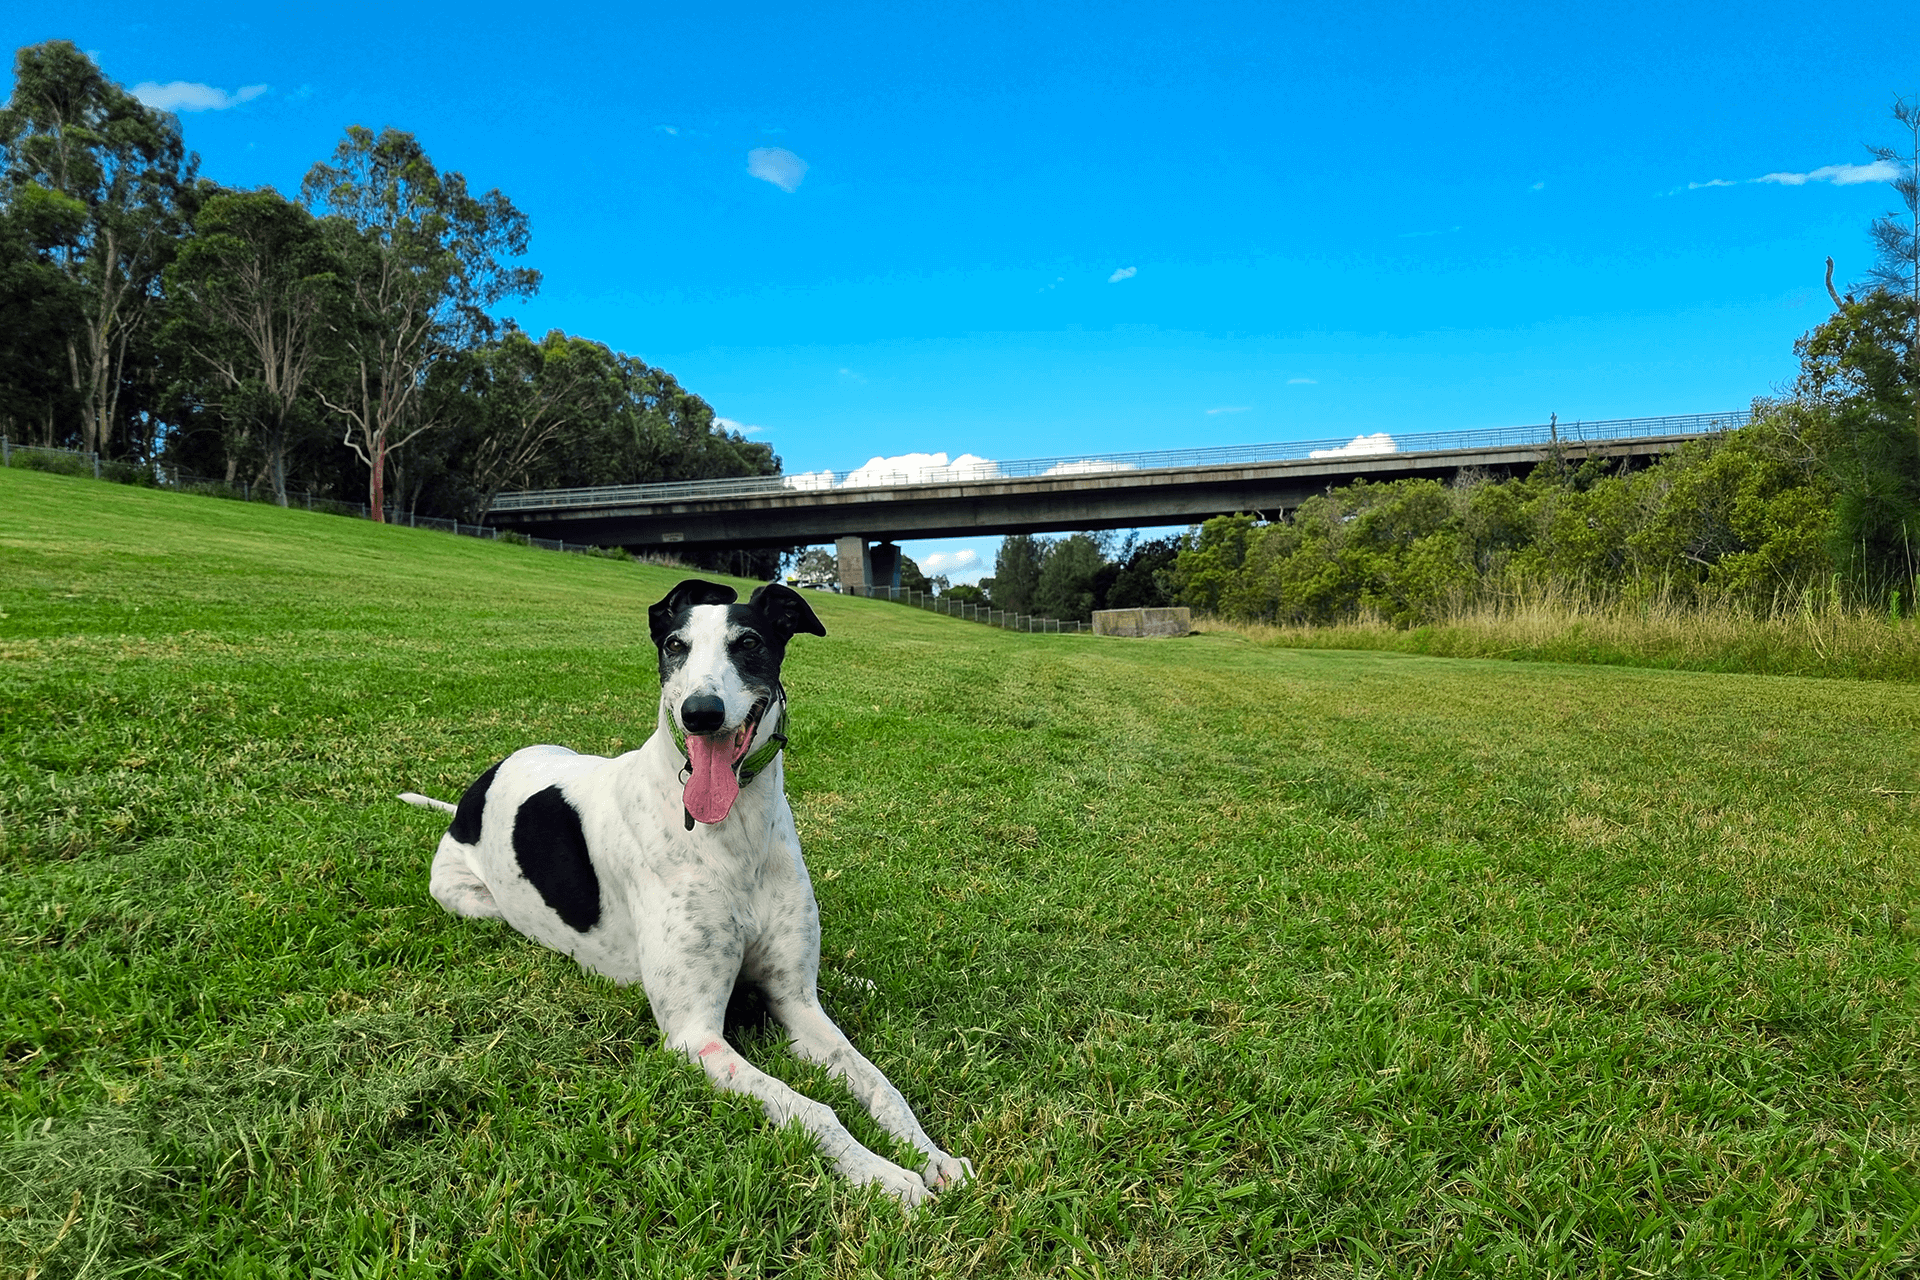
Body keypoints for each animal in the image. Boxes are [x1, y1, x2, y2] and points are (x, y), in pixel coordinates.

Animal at [403, 579, 975, 1205]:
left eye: (749, 642)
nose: (700, 714)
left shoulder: (796, 1004)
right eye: (675, 645)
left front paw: (931, 1156)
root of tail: (472, 794)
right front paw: (885, 1177)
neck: (733, 834)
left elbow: (877, 1082)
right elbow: (810, 1108)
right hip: (473, 901)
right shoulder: (695, 1037)